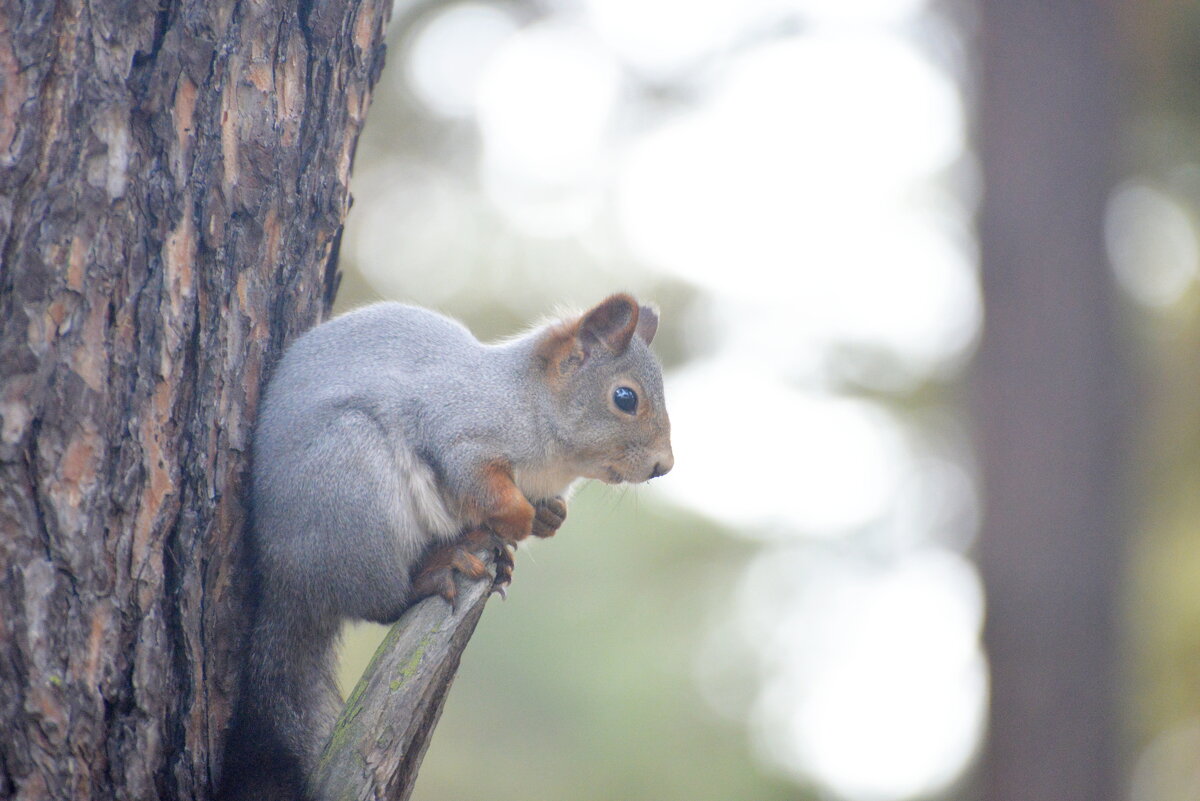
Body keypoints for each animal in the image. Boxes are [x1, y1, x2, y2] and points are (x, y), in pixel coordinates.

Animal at [212, 293, 672, 801]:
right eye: (625, 398)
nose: (664, 466)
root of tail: (283, 577)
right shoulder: (456, 431)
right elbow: (482, 484)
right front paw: (519, 517)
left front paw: (549, 516)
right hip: (353, 484)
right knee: (380, 603)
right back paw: (437, 569)